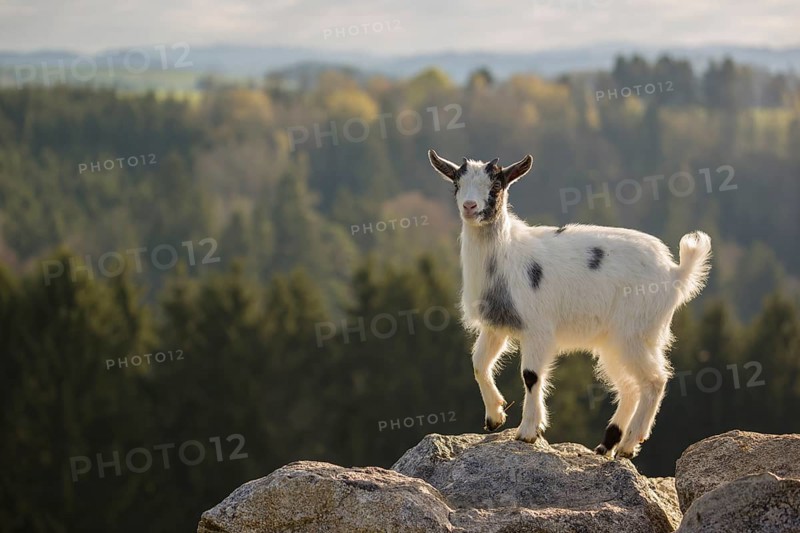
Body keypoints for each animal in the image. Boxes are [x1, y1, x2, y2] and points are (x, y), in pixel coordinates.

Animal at [427, 149, 712, 458]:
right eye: (456, 184)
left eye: (496, 186)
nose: (469, 206)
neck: (506, 256)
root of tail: (675, 272)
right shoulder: (496, 325)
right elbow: (478, 363)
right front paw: (495, 417)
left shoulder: (538, 329)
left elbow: (530, 375)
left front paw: (528, 432)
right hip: (615, 341)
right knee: (629, 386)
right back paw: (606, 444)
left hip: (633, 332)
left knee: (654, 380)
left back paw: (628, 444)